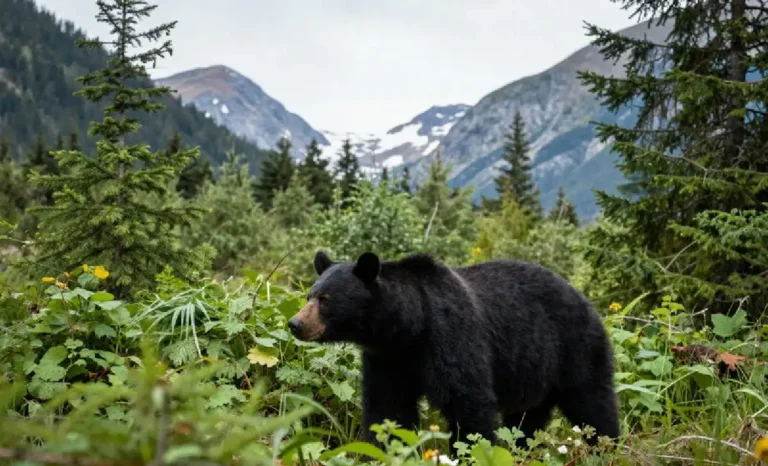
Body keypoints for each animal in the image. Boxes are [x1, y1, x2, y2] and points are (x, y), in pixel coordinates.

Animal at [288, 250, 620, 453]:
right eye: (309, 295)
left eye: (326, 299)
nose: (295, 323)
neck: (409, 328)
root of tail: (589, 304)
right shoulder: (388, 359)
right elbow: (387, 408)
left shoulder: (451, 337)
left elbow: (467, 403)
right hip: (535, 373)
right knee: (525, 421)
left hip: (576, 350)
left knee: (594, 406)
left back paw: (608, 447)